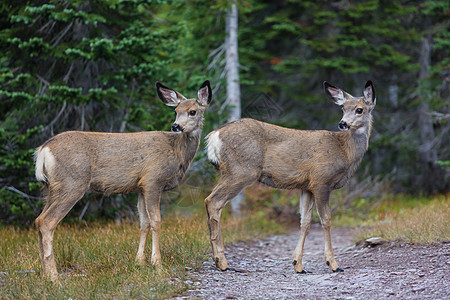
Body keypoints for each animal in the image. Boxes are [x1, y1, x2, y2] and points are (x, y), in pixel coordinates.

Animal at [33, 79, 213, 282]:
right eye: (175, 111)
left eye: (192, 111)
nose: (176, 126)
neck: (177, 152)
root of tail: (43, 150)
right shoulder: (153, 180)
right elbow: (156, 221)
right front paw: (157, 264)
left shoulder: (140, 187)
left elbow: (144, 223)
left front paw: (139, 262)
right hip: (72, 183)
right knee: (47, 222)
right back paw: (54, 277)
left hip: (50, 187)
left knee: (38, 220)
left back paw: (44, 272)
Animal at [206, 80, 374, 274]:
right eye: (343, 108)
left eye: (359, 109)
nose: (343, 123)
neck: (345, 152)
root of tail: (213, 136)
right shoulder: (321, 181)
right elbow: (326, 220)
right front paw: (333, 264)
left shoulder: (306, 186)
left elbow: (305, 222)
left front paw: (298, 264)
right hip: (240, 171)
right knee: (213, 201)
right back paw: (221, 261)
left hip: (233, 172)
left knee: (211, 202)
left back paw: (218, 259)